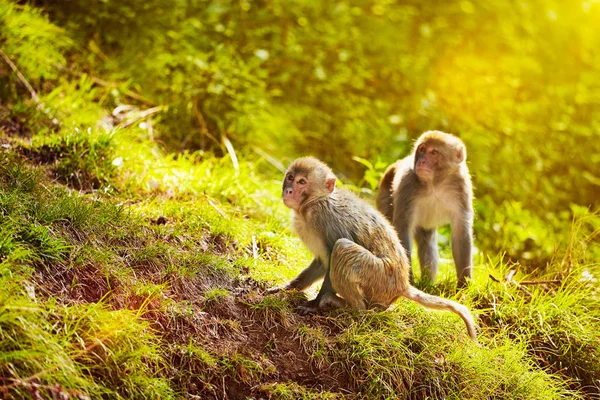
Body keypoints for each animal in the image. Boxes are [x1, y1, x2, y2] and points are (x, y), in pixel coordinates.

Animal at [278, 156, 476, 340]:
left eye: (302, 182)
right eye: (290, 177)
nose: (289, 190)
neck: (312, 203)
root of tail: (403, 284)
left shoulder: (324, 218)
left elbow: (333, 253)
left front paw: (314, 304)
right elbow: (322, 262)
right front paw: (289, 287)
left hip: (381, 278)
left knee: (343, 248)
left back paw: (351, 308)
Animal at [380, 131, 474, 288]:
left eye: (434, 152)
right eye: (422, 150)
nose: (422, 161)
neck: (435, 184)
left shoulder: (462, 187)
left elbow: (461, 232)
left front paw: (463, 284)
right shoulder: (408, 183)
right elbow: (402, 229)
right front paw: (408, 280)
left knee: (427, 240)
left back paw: (428, 282)